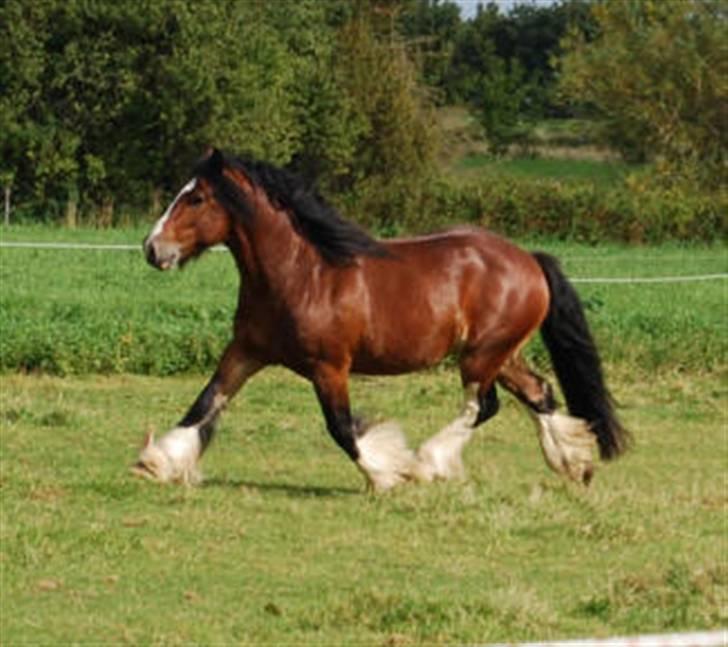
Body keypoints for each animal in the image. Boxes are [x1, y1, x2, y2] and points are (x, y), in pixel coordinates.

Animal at [134, 148, 628, 492]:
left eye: (196, 198)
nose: (152, 249)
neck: (301, 273)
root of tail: (529, 259)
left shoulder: (329, 367)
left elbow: (341, 428)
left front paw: (388, 474)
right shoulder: (246, 352)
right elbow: (205, 403)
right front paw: (156, 463)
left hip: (482, 355)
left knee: (483, 405)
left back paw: (428, 463)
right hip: (501, 354)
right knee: (539, 393)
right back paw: (574, 464)